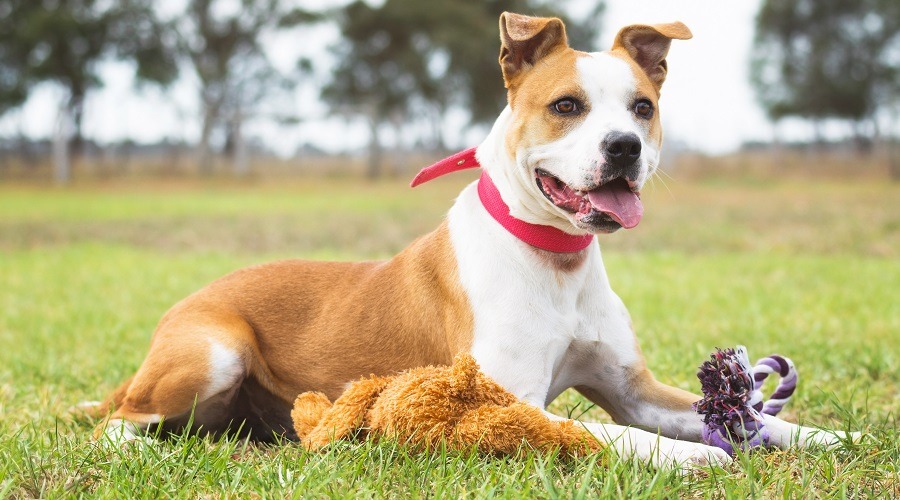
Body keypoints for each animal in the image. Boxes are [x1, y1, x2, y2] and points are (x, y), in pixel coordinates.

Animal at [93, 12, 856, 468]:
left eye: (643, 106)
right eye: (567, 106)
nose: (624, 146)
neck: (555, 258)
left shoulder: (636, 389)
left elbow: (740, 416)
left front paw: (822, 434)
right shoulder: (508, 401)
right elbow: (606, 431)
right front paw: (689, 456)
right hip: (213, 353)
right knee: (121, 419)